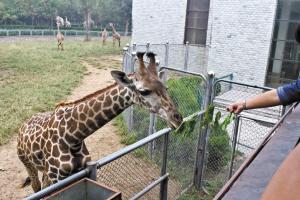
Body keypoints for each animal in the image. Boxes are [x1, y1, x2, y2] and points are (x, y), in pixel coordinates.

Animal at [18, 51, 183, 192]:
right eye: (144, 91)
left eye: (166, 87)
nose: (178, 120)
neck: (72, 136)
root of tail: (23, 125)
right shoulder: (57, 177)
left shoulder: (77, 172)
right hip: (27, 163)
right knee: (36, 186)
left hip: (44, 170)